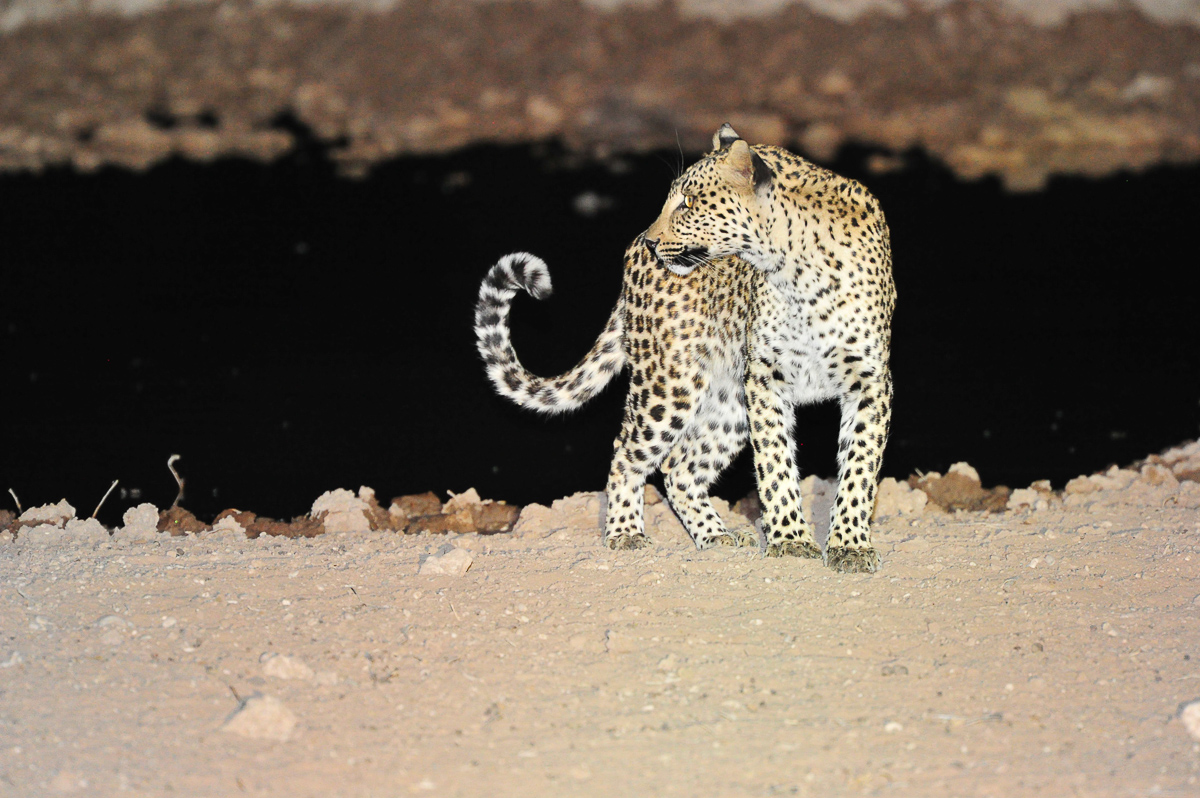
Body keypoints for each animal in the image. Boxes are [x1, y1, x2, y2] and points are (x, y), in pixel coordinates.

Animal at [475, 239, 776, 550]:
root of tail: (640, 241)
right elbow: (776, 464)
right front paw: (787, 541)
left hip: (730, 401)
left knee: (680, 467)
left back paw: (716, 535)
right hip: (670, 385)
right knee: (629, 452)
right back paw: (626, 532)